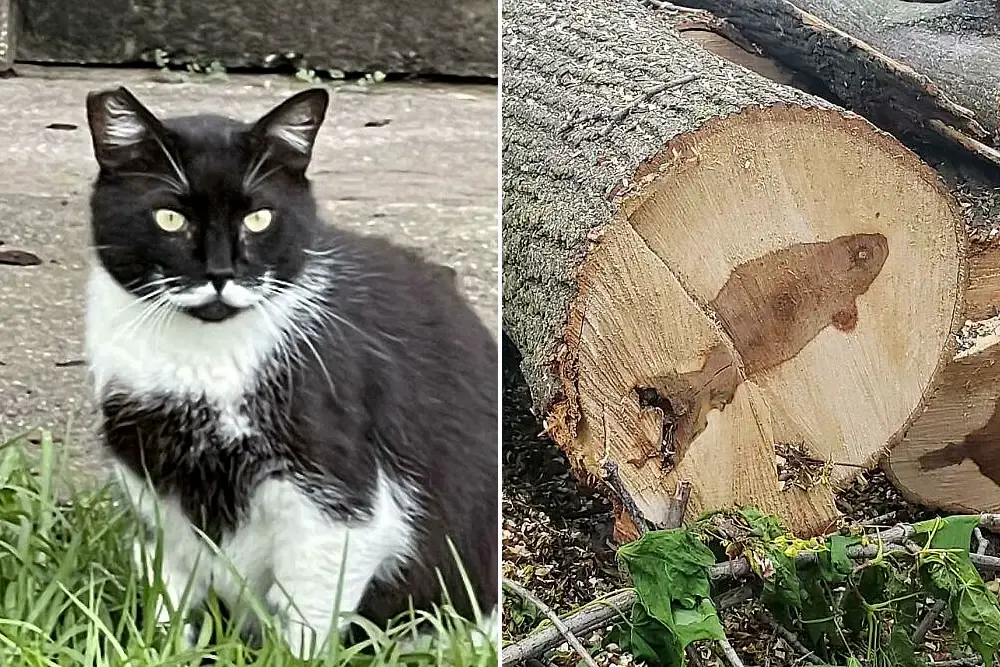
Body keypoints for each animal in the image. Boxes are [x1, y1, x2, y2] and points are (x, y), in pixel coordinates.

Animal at [84, 85, 498, 656]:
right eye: (169, 218)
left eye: (258, 218)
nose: (220, 272)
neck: (205, 361)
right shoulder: (150, 486)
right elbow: (164, 590)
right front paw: (162, 648)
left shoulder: (339, 497)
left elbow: (310, 612)